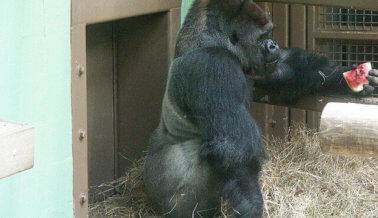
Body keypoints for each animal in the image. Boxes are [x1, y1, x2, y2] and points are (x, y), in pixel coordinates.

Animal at [143, 0, 376, 217]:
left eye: (269, 34)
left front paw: (350, 78)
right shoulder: (214, 65)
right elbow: (235, 146)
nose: (273, 44)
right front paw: (251, 204)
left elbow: (288, 68)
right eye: (262, 36)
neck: (210, 40)